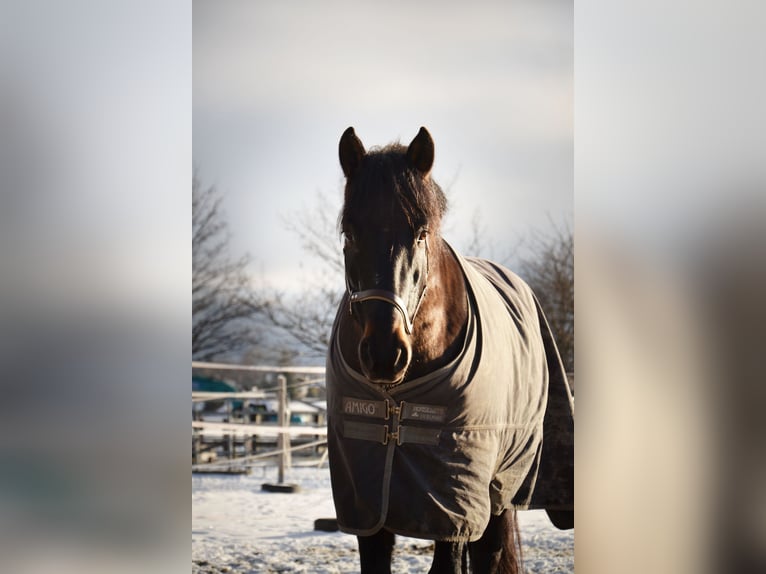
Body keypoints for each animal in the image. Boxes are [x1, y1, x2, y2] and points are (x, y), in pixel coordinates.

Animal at [326, 127, 576, 574]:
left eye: (420, 233)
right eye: (349, 234)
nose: (385, 353)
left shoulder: (452, 505)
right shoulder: (367, 507)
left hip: (500, 485)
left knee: (490, 552)